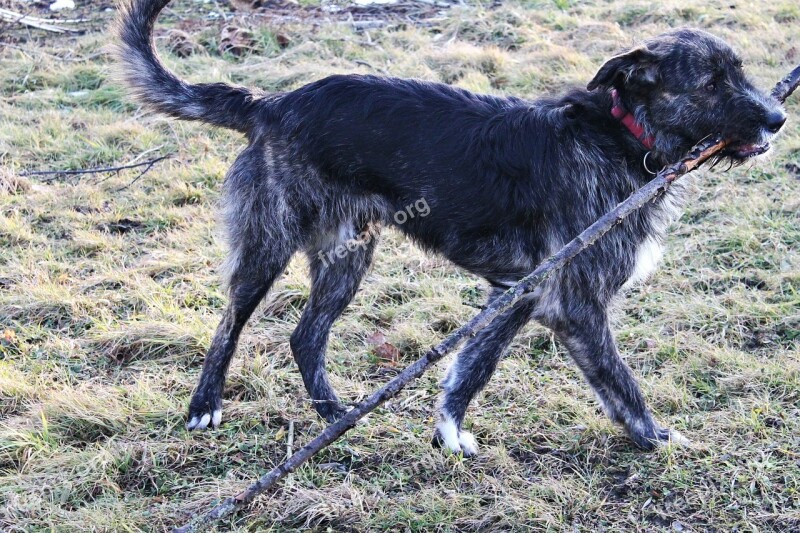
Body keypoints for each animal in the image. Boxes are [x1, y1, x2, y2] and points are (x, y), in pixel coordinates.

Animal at [115, 2, 784, 456]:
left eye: (739, 72)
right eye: (711, 84)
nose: (778, 118)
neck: (623, 138)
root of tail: (271, 104)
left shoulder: (517, 295)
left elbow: (472, 365)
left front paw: (448, 431)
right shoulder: (575, 303)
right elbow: (620, 380)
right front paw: (651, 437)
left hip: (348, 255)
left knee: (306, 337)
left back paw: (334, 415)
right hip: (270, 244)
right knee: (230, 319)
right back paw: (206, 405)